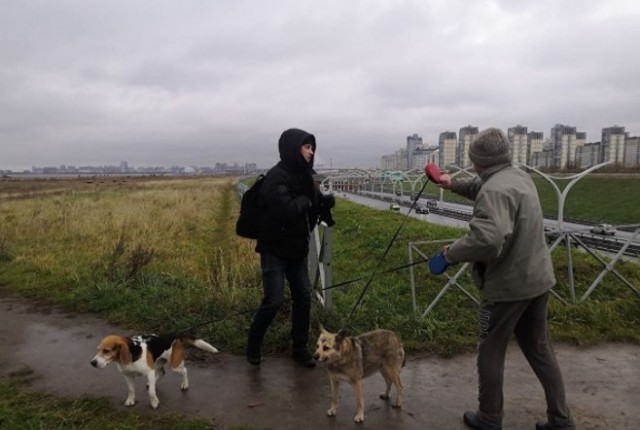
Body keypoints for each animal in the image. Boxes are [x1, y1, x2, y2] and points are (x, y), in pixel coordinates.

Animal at [90, 334, 220, 408]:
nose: (92, 363)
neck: (133, 353)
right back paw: (151, 383)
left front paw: (154, 403)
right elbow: (131, 389)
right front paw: (130, 400)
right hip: (157, 363)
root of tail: (176, 337)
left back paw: (185, 384)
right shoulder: (127, 375)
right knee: (161, 373)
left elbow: (151, 392)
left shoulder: (149, 372)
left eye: (106, 351)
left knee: (184, 370)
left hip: (174, 365)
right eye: (98, 350)